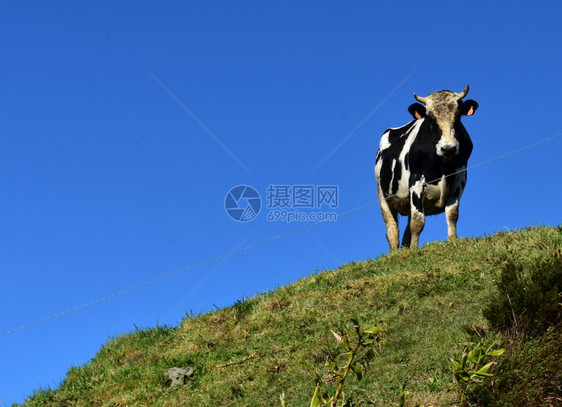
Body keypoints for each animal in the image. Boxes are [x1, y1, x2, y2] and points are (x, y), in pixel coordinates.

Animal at [372, 84, 476, 249]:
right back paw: (394, 251)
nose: (448, 148)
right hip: (382, 193)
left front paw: (453, 241)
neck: (442, 165)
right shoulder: (416, 181)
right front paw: (415, 250)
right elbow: (418, 221)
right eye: (431, 119)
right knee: (392, 229)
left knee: (406, 231)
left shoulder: (459, 178)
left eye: (458, 116)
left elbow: (452, 214)